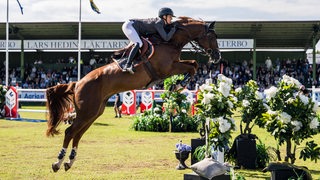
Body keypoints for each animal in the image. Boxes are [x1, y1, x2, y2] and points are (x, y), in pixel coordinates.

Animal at [46, 17, 221, 172]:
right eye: (212, 37)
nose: (217, 57)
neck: (170, 41)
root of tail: (77, 84)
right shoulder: (168, 68)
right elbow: (193, 66)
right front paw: (178, 84)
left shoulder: (174, 65)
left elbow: (194, 64)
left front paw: (177, 84)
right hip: (86, 112)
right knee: (70, 132)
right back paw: (57, 163)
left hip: (93, 113)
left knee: (78, 134)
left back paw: (69, 162)